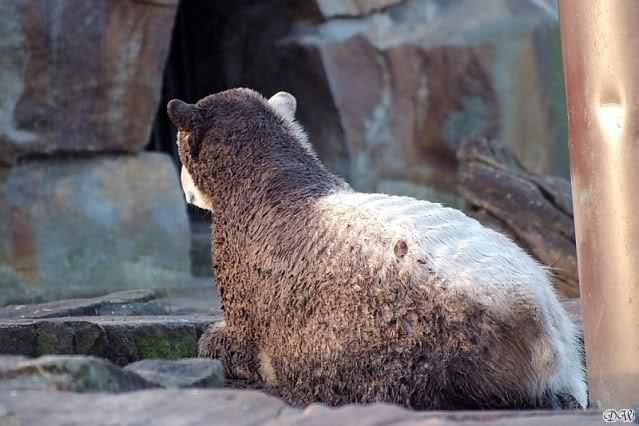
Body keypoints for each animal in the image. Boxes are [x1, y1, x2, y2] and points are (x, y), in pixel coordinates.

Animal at [166, 88, 587, 410]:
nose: (185, 192)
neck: (272, 179)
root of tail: (544, 330)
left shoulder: (244, 262)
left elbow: (232, 340)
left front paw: (216, 340)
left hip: (431, 341)